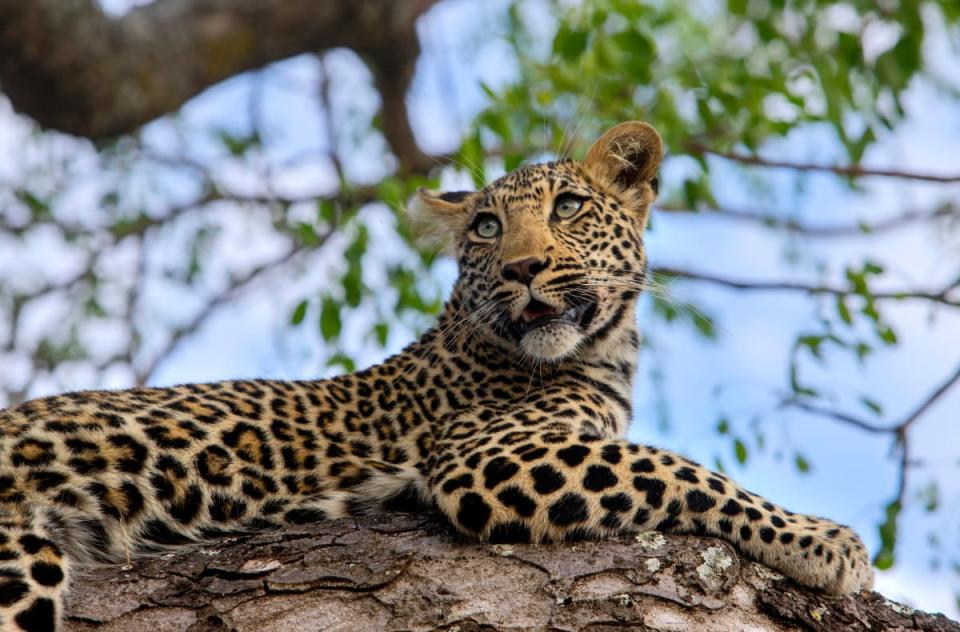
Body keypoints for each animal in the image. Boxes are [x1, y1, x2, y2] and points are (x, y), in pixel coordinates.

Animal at [0, 121, 872, 628]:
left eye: (566, 209)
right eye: (486, 226)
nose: (522, 268)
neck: (602, 351)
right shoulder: (486, 453)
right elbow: (681, 469)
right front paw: (823, 542)